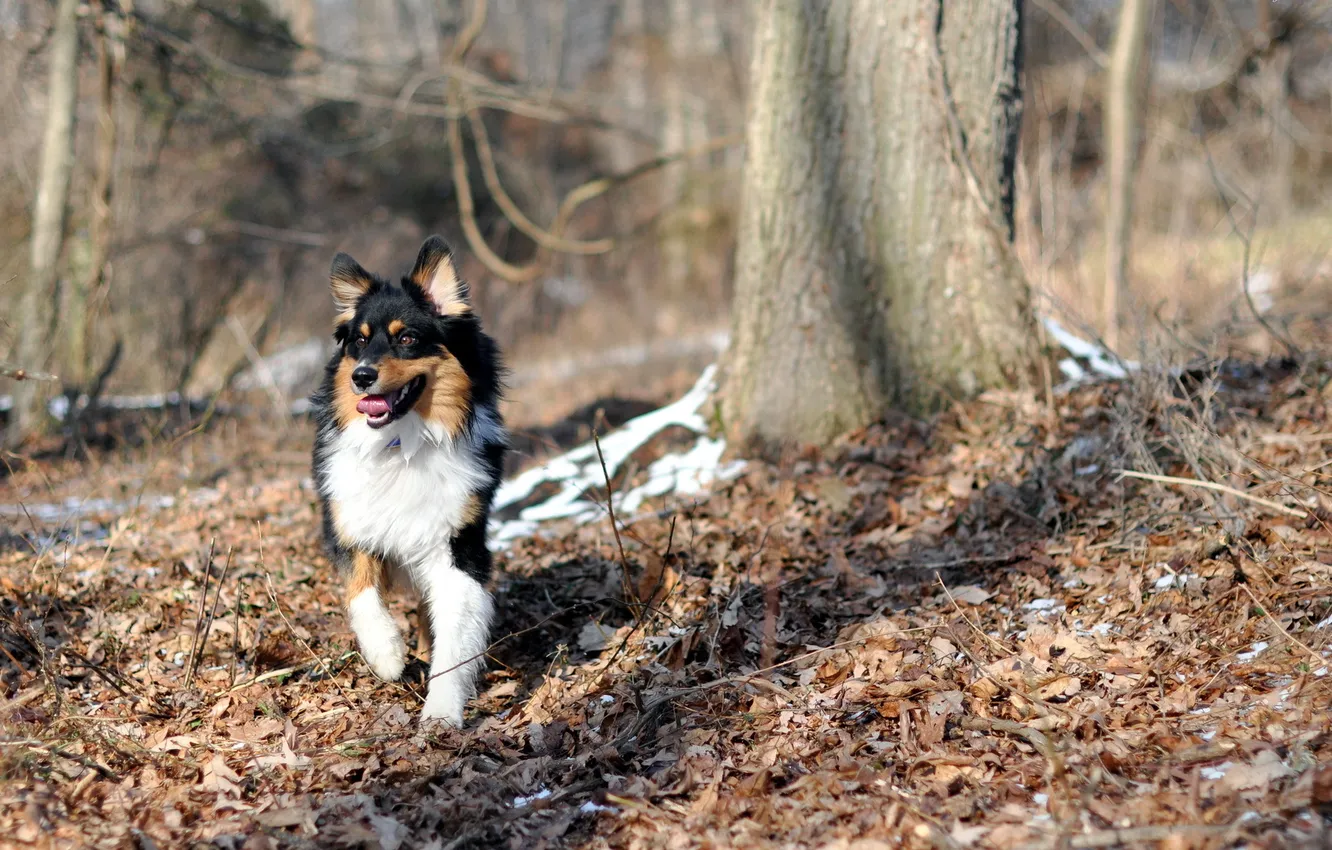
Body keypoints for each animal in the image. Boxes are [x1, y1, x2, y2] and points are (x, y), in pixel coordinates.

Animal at [309, 238, 506, 724]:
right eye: (359, 341)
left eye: (407, 338)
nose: (361, 376)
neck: (401, 445)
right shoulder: (350, 526)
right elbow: (361, 595)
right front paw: (387, 655)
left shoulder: (457, 544)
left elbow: (454, 635)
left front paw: (441, 713)